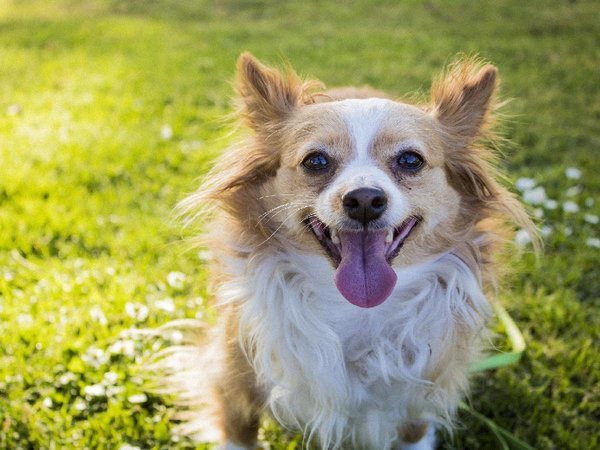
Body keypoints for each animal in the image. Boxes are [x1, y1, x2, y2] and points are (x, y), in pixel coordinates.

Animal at [158, 53, 536, 450]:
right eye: (316, 161)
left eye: (411, 160)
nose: (365, 199)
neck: (357, 309)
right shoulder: (235, 375)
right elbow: (238, 432)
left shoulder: (420, 391)